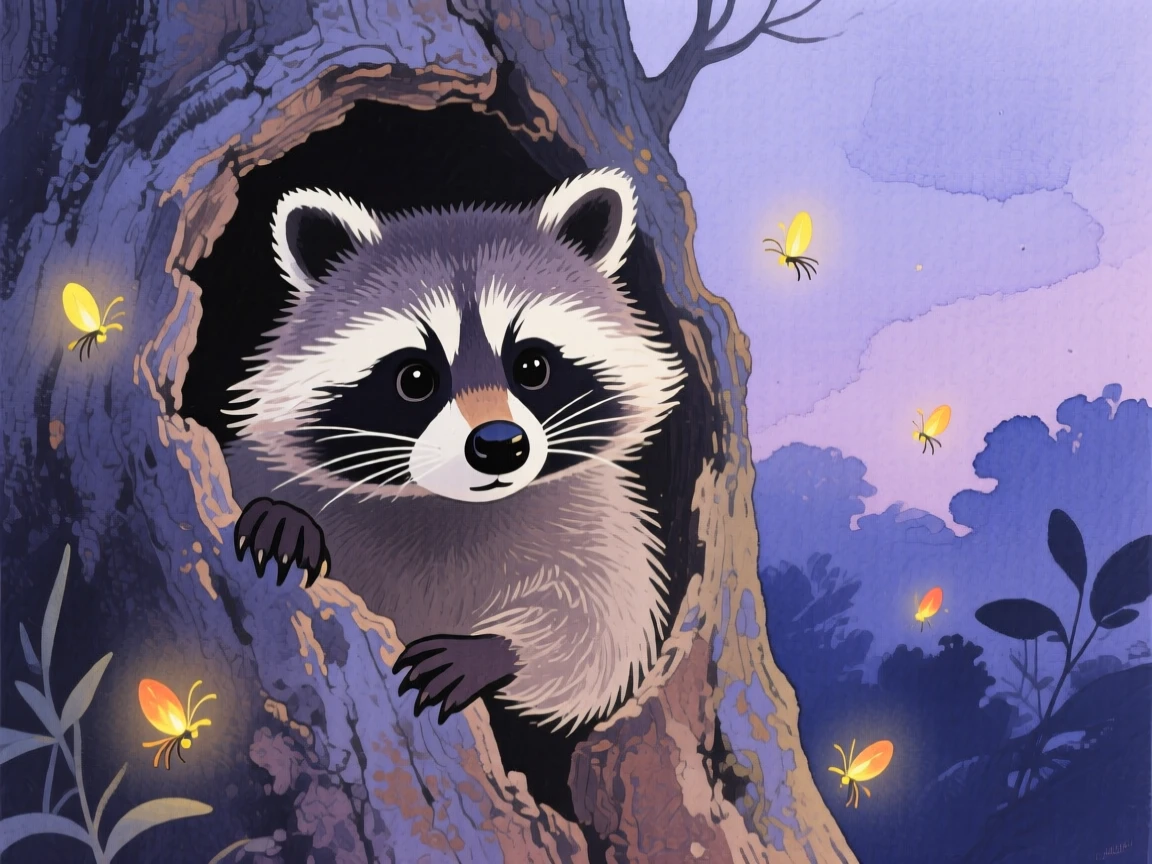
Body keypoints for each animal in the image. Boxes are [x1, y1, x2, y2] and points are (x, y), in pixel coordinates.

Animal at [224, 169, 685, 731]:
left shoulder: (600, 519)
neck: (451, 502)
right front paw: (282, 518)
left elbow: (603, 637)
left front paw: (494, 650)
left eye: (532, 366)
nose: (499, 446)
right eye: (415, 378)